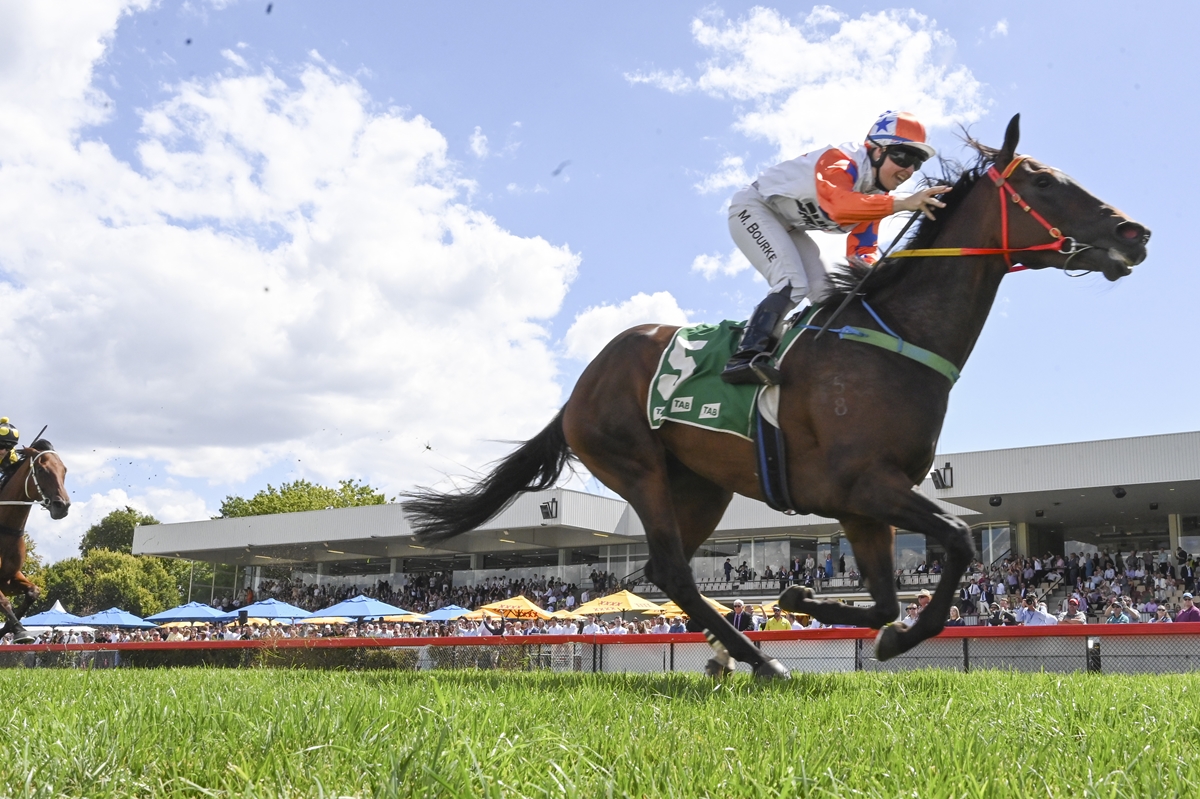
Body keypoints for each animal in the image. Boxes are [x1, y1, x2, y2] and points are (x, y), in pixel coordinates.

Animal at [0, 441, 70, 643]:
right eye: (41, 470)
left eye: (64, 470)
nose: (62, 506)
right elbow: (4, 601)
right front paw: (19, 630)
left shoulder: (8, 579)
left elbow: (33, 592)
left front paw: (11, 628)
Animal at [405, 116, 1152, 676]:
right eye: (1043, 181)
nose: (1134, 232)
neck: (892, 338)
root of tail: (579, 389)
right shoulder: (865, 485)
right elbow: (962, 541)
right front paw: (872, 631)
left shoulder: (861, 505)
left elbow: (888, 600)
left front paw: (805, 596)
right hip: (637, 466)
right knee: (672, 568)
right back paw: (759, 660)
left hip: (700, 486)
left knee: (667, 571)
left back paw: (735, 655)